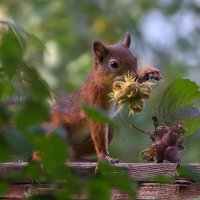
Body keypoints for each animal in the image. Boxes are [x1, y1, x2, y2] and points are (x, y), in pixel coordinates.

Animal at [41, 32, 161, 163]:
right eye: (113, 64)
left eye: (135, 59)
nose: (134, 76)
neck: (106, 87)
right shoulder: (94, 102)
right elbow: (98, 133)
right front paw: (105, 157)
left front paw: (147, 73)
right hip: (56, 129)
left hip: (105, 134)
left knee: (74, 153)